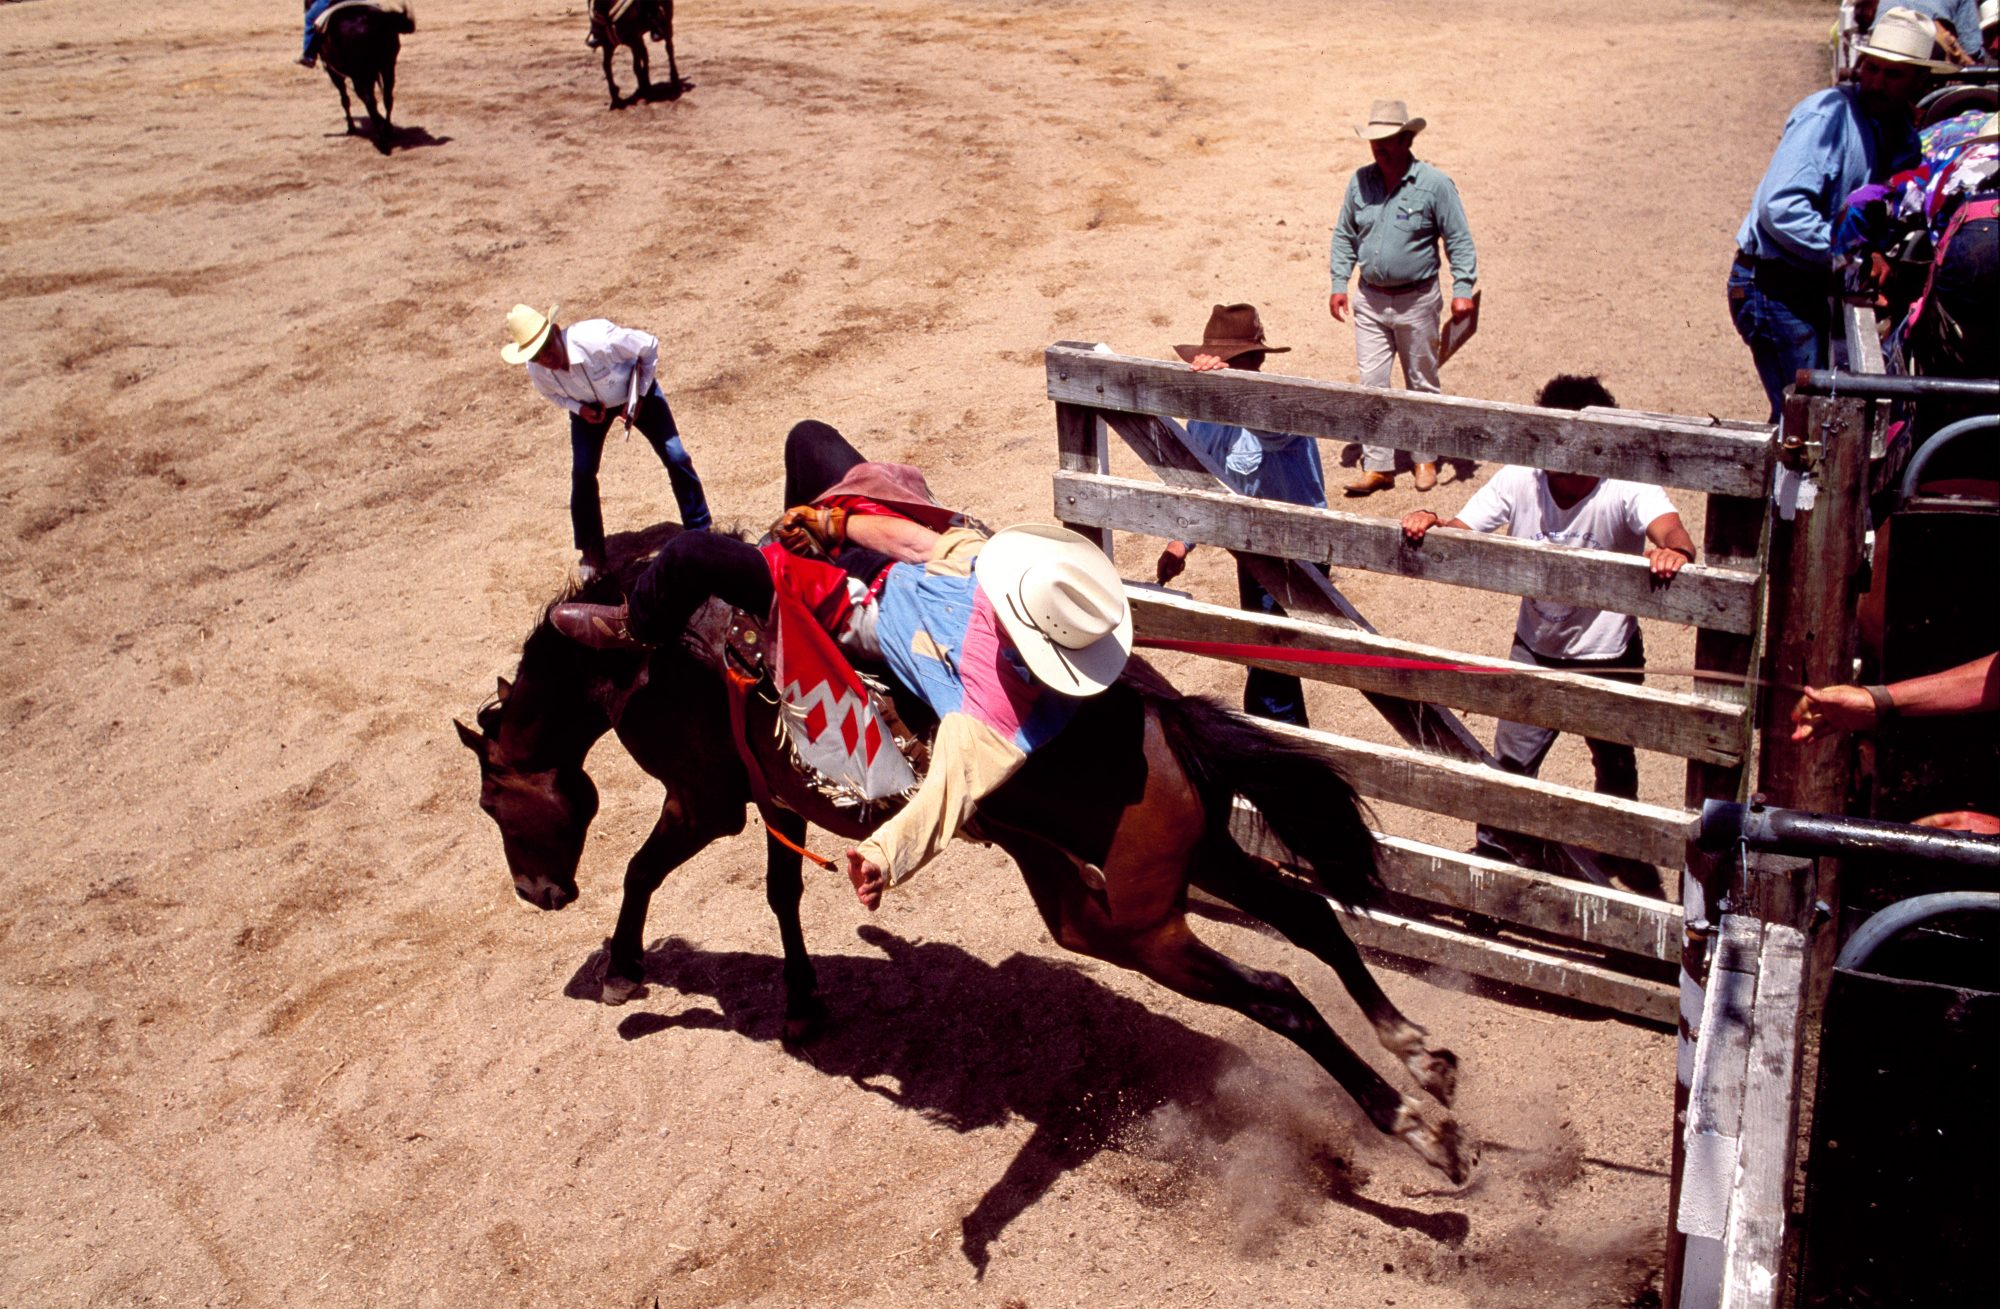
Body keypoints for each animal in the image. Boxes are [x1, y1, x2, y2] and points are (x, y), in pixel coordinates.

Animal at [312, 0, 414, 154]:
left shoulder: (334, 73)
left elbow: (345, 100)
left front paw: (351, 127)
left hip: (361, 75)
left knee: (369, 101)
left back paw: (382, 142)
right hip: (387, 66)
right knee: (387, 98)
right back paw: (387, 130)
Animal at [460, 520, 1480, 1192]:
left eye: (490, 799)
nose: (537, 891)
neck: (650, 667)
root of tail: (1157, 713)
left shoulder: (703, 801)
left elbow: (642, 869)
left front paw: (624, 971)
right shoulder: (774, 799)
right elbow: (783, 894)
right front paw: (802, 1001)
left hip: (1143, 922)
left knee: (1277, 994)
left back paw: (1423, 1132)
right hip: (1181, 868)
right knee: (1309, 916)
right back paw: (1422, 1059)